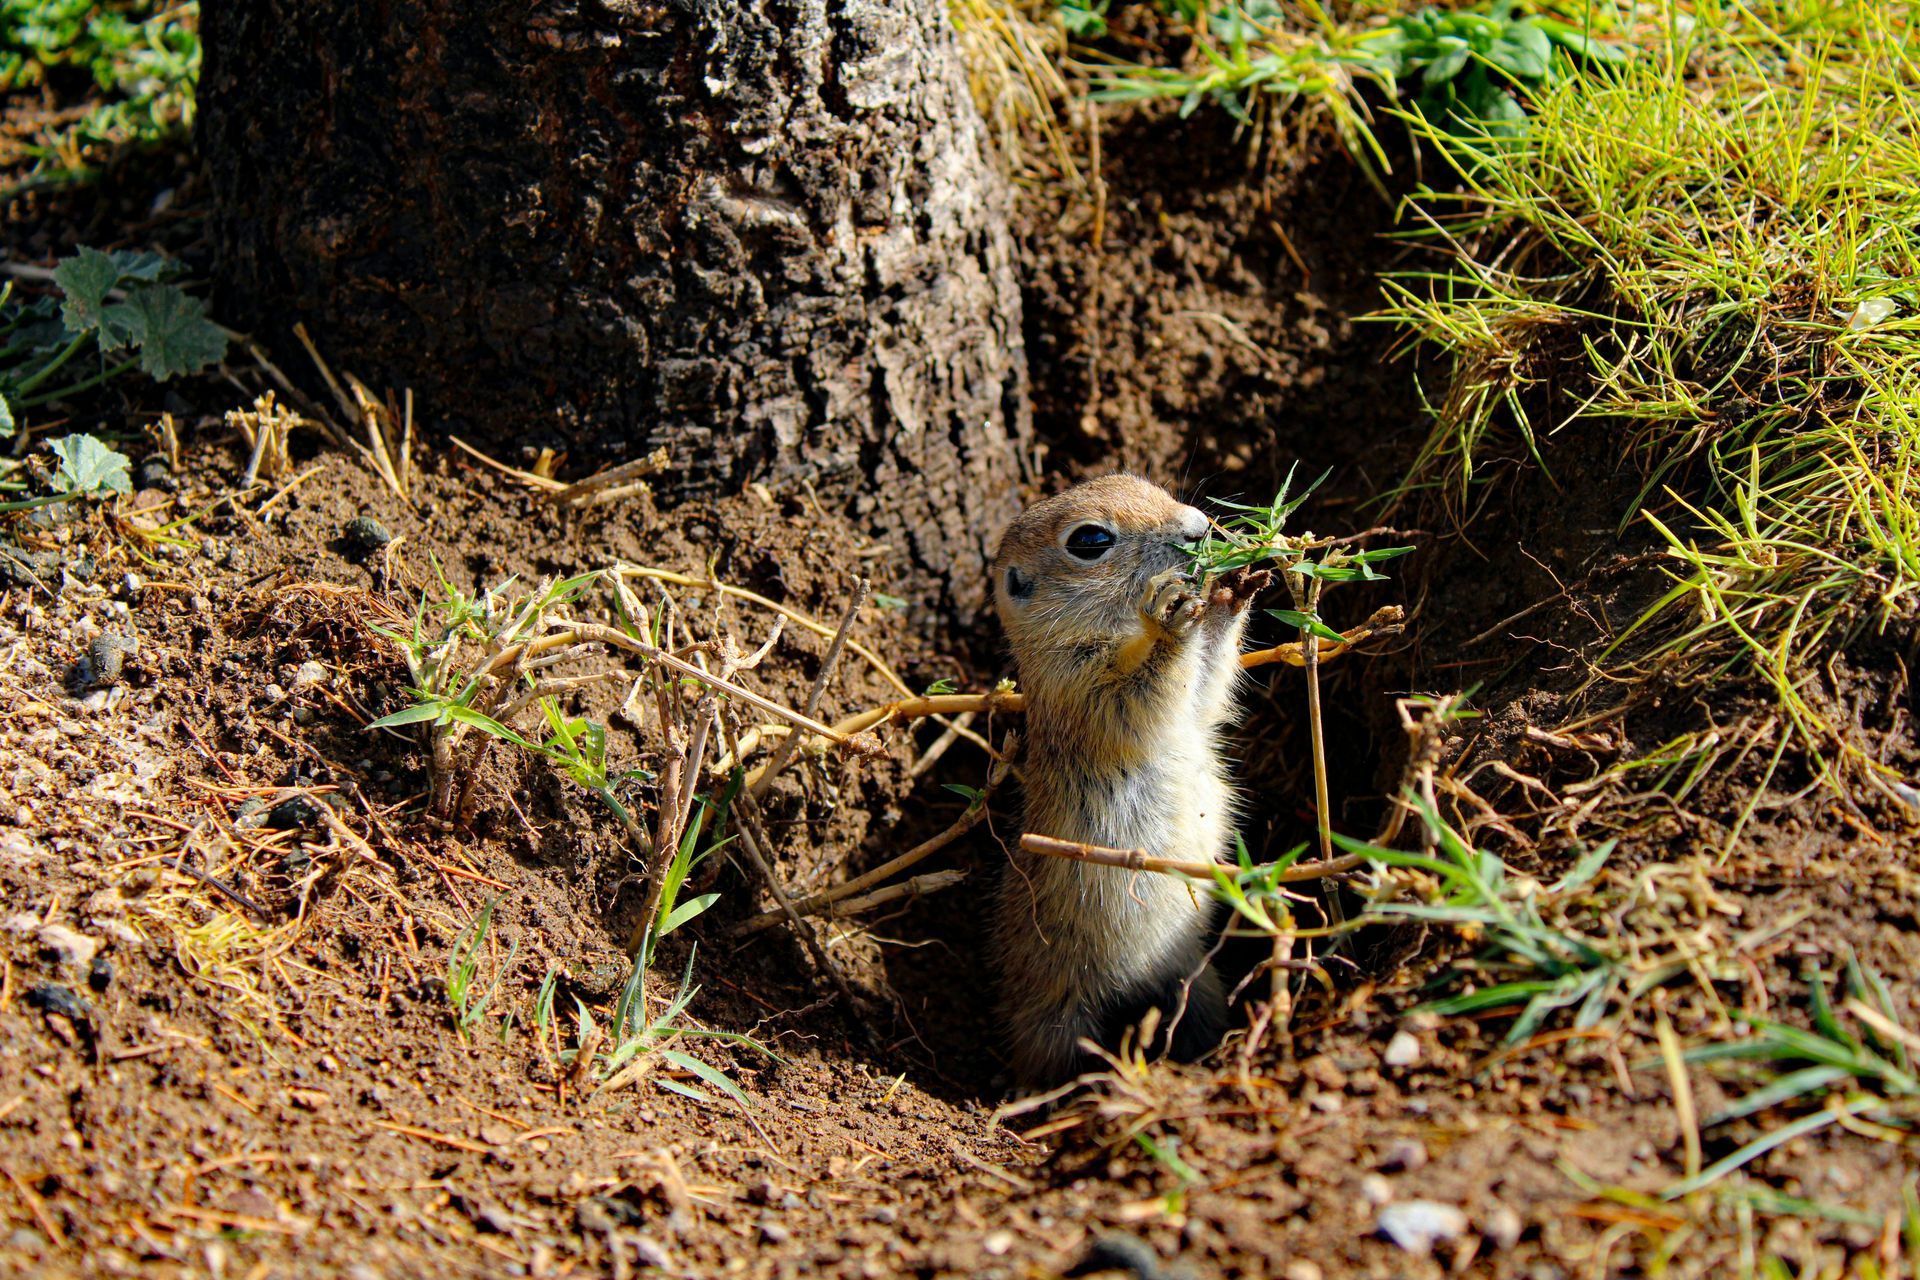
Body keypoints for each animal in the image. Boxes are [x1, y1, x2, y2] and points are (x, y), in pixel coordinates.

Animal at [990, 474, 1264, 1088]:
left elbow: (1206, 689)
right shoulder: (1081, 690)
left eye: (1143, 483)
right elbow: (1143, 693)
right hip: (1057, 1018)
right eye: (1090, 540)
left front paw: (1231, 590)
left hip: (1194, 982)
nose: (1199, 528)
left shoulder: (1191, 706)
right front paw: (1173, 617)